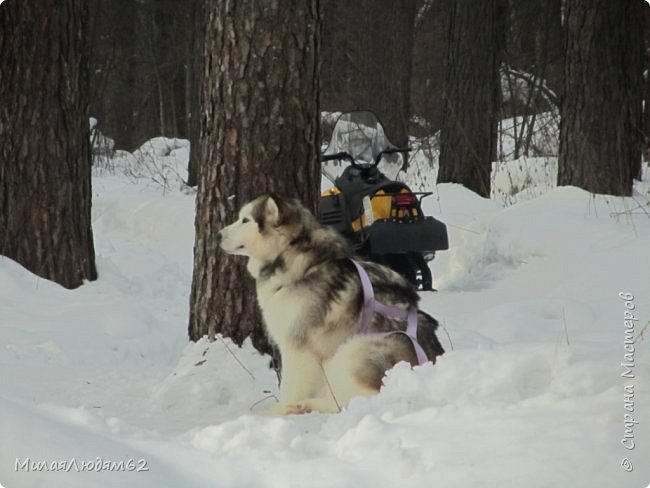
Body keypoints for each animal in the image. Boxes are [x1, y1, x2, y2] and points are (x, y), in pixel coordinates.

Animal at [215, 193, 442, 414]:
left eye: (245, 220)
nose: (217, 235)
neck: (295, 259)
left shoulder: (298, 347)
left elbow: (290, 387)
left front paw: (278, 410)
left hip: (355, 348)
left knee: (360, 398)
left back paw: (305, 405)